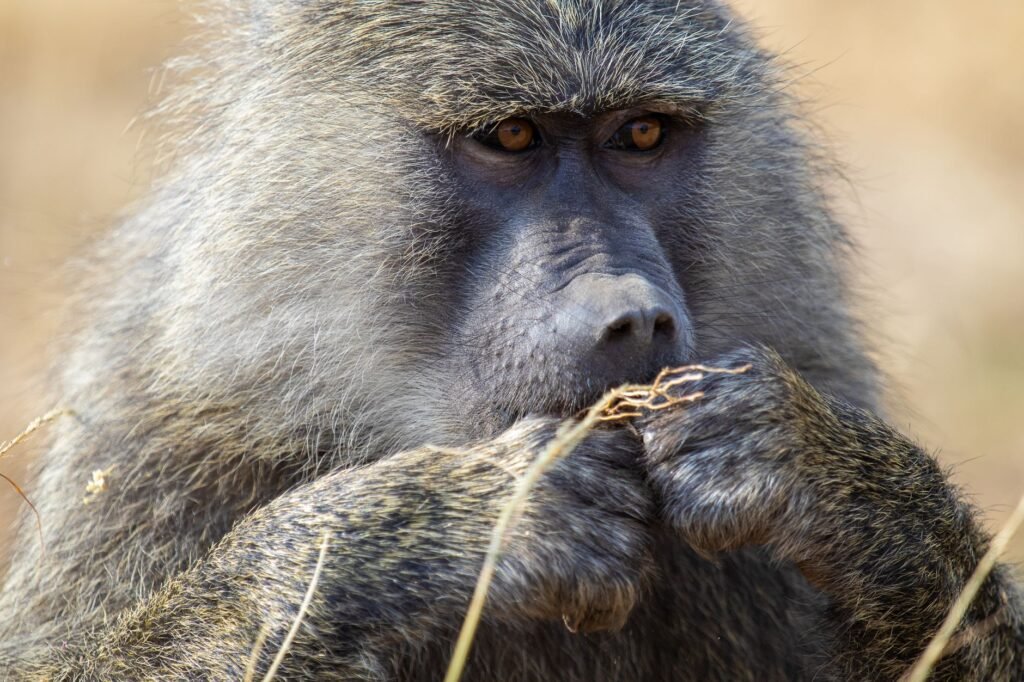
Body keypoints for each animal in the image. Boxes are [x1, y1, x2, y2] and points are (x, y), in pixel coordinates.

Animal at [1, 0, 1022, 679]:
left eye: (641, 134)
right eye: (511, 136)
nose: (633, 316)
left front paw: (815, 467)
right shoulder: (157, 438)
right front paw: (465, 516)